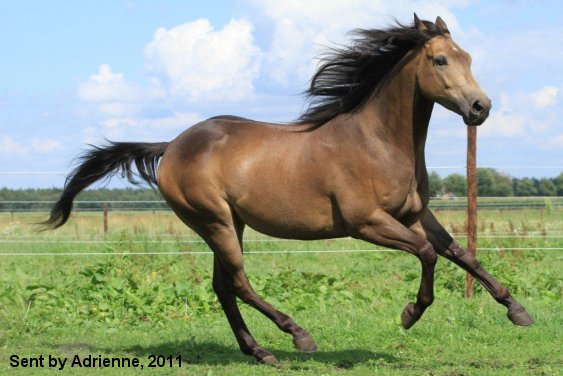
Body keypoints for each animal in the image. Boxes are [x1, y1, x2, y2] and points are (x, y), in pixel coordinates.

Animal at [44, 14, 532, 364]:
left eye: (468, 57)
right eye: (441, 61)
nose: (480, 107)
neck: (377, 141)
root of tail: (172, 146)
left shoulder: (416, 215)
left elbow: (461, 253)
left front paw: (517, 310)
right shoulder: (367, 223)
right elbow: (429, 254)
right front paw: (410, 315)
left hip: (230, 224)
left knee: (223, 286)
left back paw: (259, 351)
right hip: (214, 221)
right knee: (238, 283)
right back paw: (298, 336)